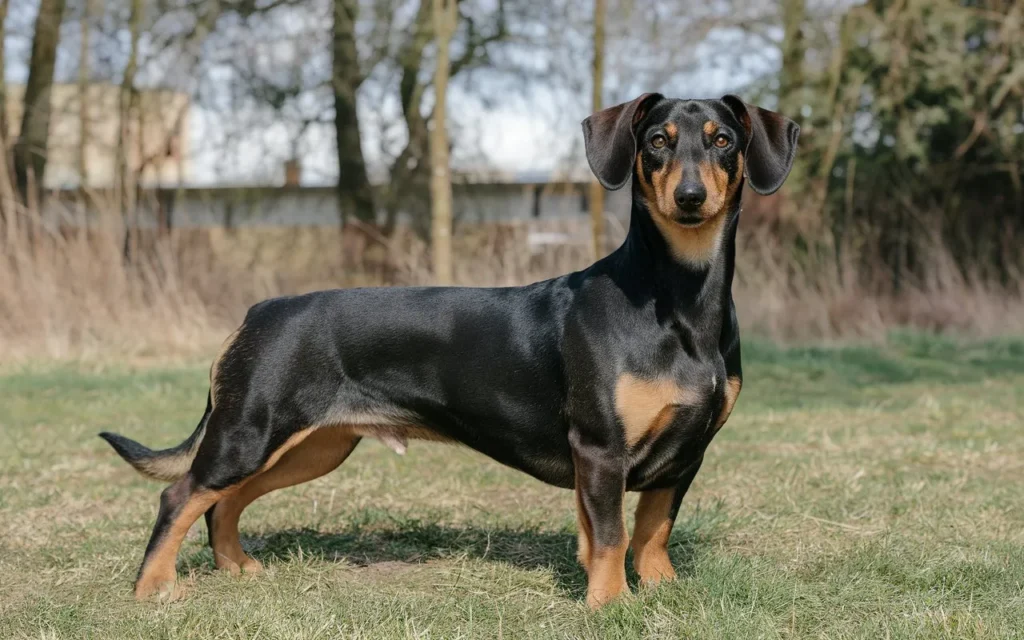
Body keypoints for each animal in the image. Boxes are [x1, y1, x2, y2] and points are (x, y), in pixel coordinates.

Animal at [99, 93, 794, 610]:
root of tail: (253, 316)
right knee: (181, 497)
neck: (676, 301)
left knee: (225, 503)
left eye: (722, 140)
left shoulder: (687, 450)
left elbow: (653, 529)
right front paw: (611, 603)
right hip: (250, 432)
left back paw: (237, 568)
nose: (690, 197)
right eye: (656, 141)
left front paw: (660, 590)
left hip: (312, 446)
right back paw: (153, 588)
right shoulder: (601, 449)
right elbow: (610, 535)